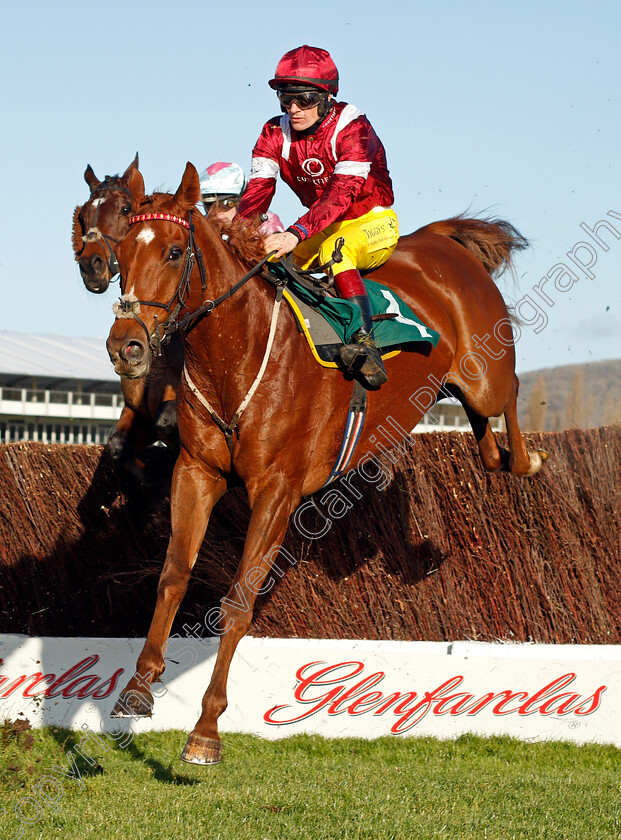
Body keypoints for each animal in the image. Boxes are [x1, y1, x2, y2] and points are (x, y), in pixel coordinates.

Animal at [72, 153, 182, 476]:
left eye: (124, 209)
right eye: (84, 215)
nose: (90, 266)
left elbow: (167, 420)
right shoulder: (136, 412)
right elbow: (118, 446)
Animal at [108, 161, 548, 764]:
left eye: (175, 252)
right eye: (121, 252)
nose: (126, 345)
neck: (238, 353)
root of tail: (438, 240)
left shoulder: (277, 489)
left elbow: (239, 600)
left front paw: (205, 731)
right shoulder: (197, 472)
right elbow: (173, 575)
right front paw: (137, 687)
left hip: (486, 373)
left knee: (510, 397)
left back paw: (529, 460)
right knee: (483, 440)